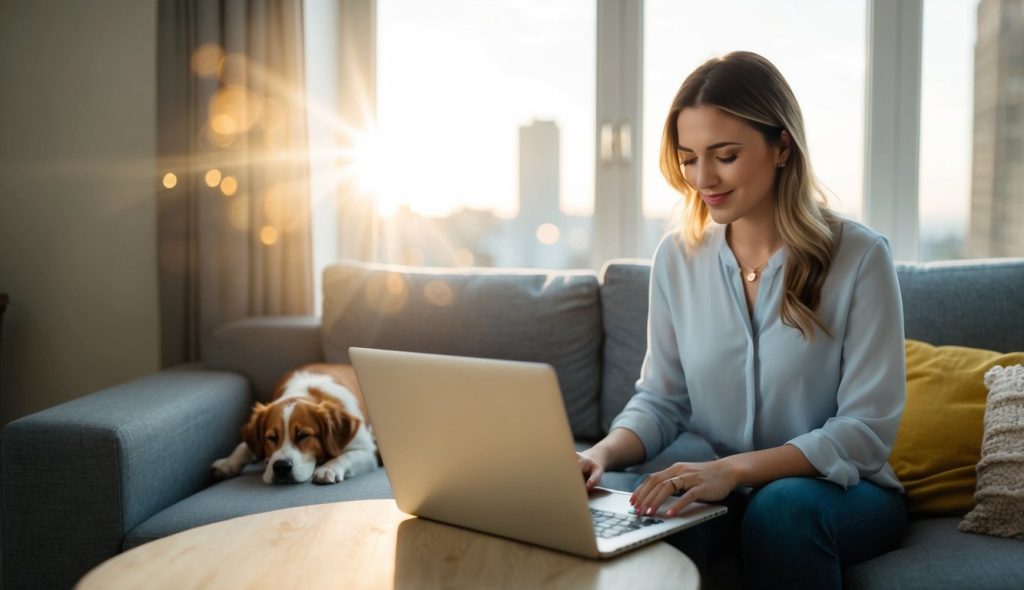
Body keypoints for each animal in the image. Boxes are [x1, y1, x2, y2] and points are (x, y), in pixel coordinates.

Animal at [209, 364, 378, 483]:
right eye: (271, 437)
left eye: (303, 435)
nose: (281, 467)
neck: (303, 392)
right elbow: (243, 445)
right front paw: (228, 463)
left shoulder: (369, 451)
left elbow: (346, 456)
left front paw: (329, 468)